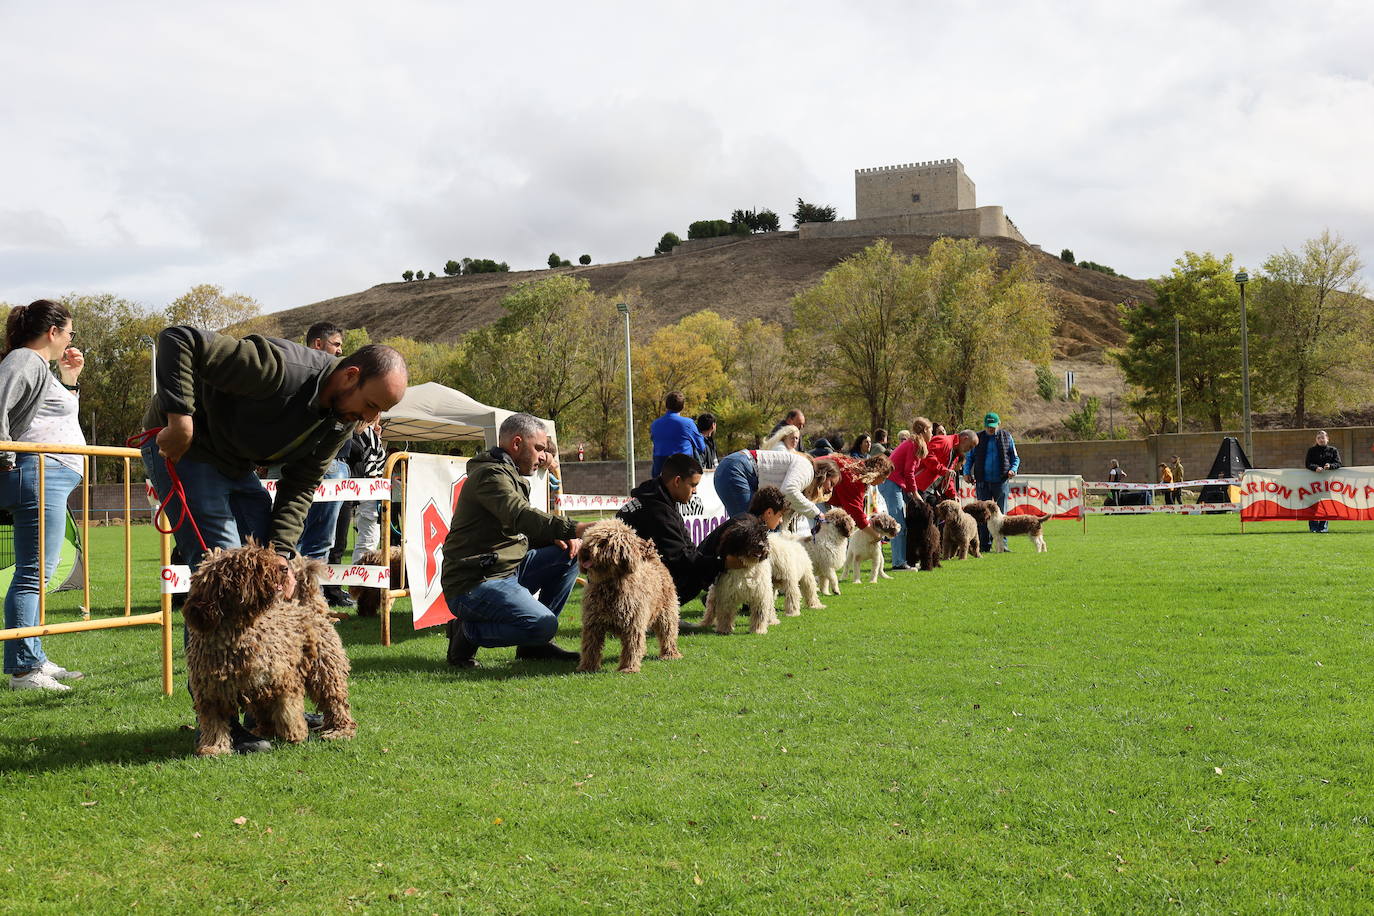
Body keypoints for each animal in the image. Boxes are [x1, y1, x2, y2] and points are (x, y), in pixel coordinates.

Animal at [186, 549, 359, 758]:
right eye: (253, 565)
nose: (284, 568)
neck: (236, 632)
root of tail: (308, 605)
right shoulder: (211, 691)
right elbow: (214, 723)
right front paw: (213, 748)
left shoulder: (283, 678)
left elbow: (288, 709)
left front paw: (296, 734)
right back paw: (263, 731)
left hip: (325, 668)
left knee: (335, 701)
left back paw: (340, 730)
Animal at [574, 521, 681, 672]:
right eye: (588, 538)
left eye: (603, 541)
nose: (584, 550)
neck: (609, 584)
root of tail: (653, 560)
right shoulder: (593, 624)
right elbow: (590, 646)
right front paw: (587, 667)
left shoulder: (633, 623)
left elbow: (631, 646)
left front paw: (628, 668)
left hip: (667, 613)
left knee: (668, 633)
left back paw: (670, 654)